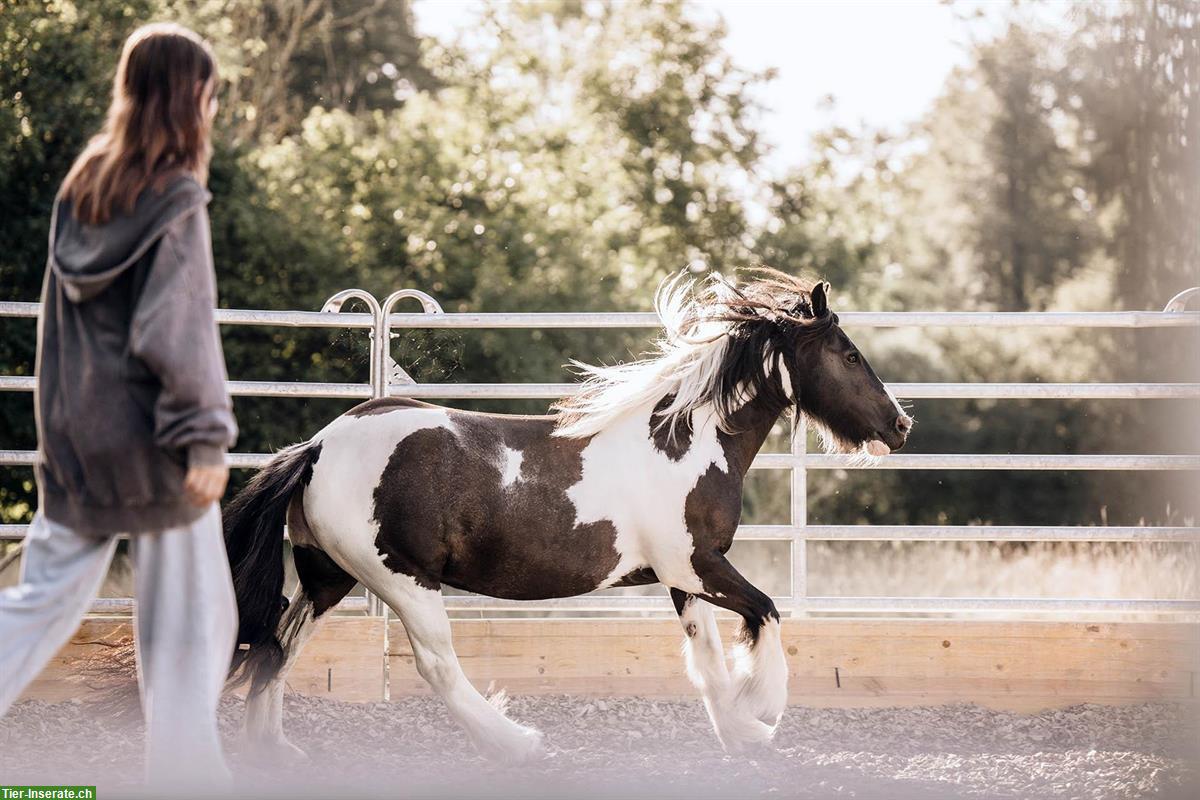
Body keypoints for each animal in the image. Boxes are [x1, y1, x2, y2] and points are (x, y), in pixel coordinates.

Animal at [225, 268, 912, 762]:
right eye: (849, 355)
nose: (899, 425)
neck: (686, 442)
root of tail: (319, 446)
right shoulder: (698, 564)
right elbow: (766, 612)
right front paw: (764, 711)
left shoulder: (684, 578)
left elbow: (708, 657)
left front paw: (740, 733)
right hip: (403, 578)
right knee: (435, 664)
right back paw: (517, 744)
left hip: (328, 577)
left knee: (277, 649)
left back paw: (273, 749)